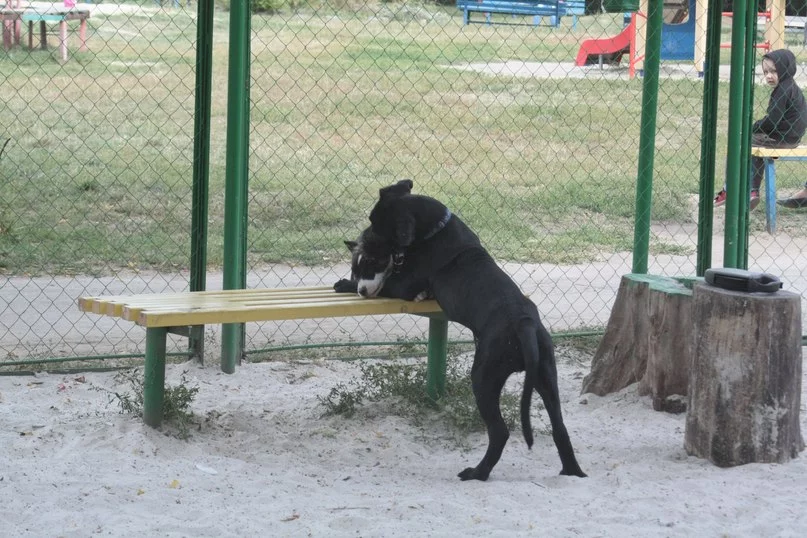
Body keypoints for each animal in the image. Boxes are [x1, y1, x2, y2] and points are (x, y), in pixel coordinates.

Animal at [360, 179, 586, 481]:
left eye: (376, 224)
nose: (365, 239)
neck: (435, 229)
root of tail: (524, 324)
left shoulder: (403, 284)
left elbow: (383, 284)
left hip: (484, 377)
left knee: (500, 432)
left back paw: (477, 472)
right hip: (546, 375)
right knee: (559, 426)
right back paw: (573, 472)